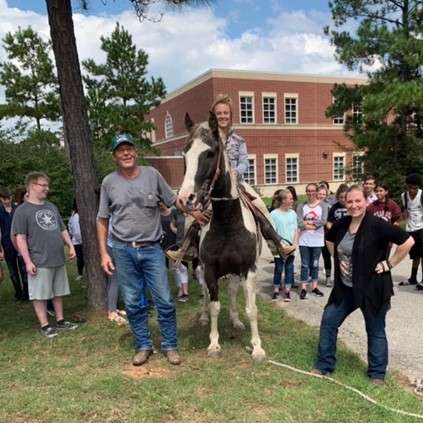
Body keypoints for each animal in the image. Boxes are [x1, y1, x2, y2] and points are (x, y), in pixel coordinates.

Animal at [177, 112, 266, 364]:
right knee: (206, 295)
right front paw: (214, 344)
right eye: (184, 154)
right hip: (199, 268)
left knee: (234, 292)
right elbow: (215, 305)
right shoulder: (209, 269)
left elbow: (251, 309)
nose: (185, 198)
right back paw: (204, 317)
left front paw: (257, 348)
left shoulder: (248, 269)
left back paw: (235, 320)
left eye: (210, 153)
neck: (227, 223)